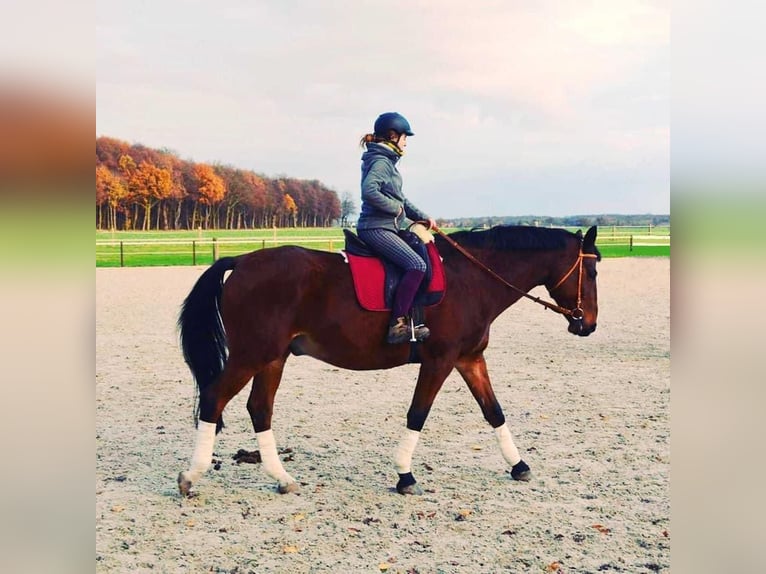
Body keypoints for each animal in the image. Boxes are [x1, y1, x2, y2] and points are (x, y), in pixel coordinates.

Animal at [177, 224, 600, 496]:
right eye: (592, 270)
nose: (589, 324)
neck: (471, 279)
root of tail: (242, 261)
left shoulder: (469, 359)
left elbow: (494, 411)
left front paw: (519, 466)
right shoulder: (440, 360)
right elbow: (418, 414)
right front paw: (405, 476)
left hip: (272, 359)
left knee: (259, 409)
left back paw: (282, 478)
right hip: (252, 355)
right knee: (214, 400)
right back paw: (191, 477)